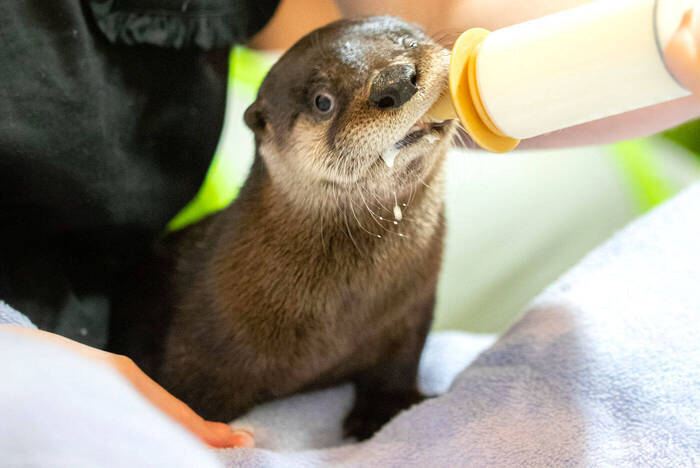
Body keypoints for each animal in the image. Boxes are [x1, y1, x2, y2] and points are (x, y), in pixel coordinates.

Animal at [110, 16, 456, 440]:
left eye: (405, 39)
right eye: (322, 101)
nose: (394, 83)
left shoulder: (411, 312)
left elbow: (398, 366)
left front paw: (381, 411)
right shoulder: (196, 352)